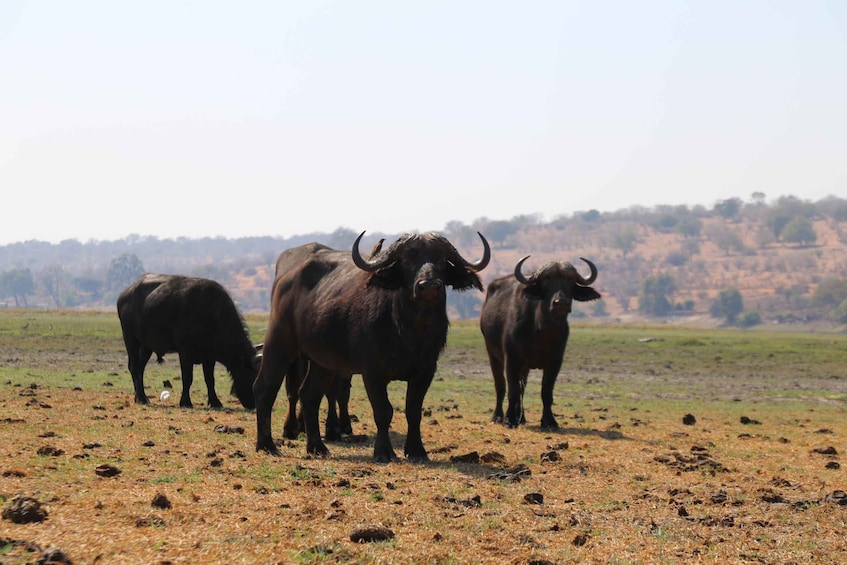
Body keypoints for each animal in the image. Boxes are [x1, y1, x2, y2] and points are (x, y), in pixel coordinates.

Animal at [116, 272, 260, 408]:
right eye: (252, 375)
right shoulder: (185, 352)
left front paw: (215, 401)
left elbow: (210, 379)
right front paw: (186, 401)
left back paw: (141, 397)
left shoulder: (209, 357)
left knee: (140, 368)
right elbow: (187, 378)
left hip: (146, 346)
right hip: (130, 339)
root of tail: (124, 295)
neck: (211, 314)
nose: (253, 404)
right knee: (134, 367)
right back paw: (141, 397)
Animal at [253, 231, 490, 460]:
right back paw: (267, 445)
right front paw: (384, 452)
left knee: (309, 395)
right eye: (407, 260)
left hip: (323, 362)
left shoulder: (426, 371)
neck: (410, 333)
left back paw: (317, 447)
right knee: (266, 387)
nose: (429, 286)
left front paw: (417, 451)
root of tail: (286, 278)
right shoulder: (372, 372)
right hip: (280, 343)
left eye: (441, 260)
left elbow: (413, 411)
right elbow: (383, 411)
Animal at [480, 256, 600, 428]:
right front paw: (509, 419)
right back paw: (498, 416)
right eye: (547, 282)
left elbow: (546, 392)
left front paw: (549, 421)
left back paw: (521, 418)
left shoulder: (555, 362)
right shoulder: (512, 359)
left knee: (522, 387)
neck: (542, 332)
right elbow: (512, 390)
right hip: (493, 355)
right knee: (501, 386)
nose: (561, 303)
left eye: (570, 282)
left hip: (524, 367)